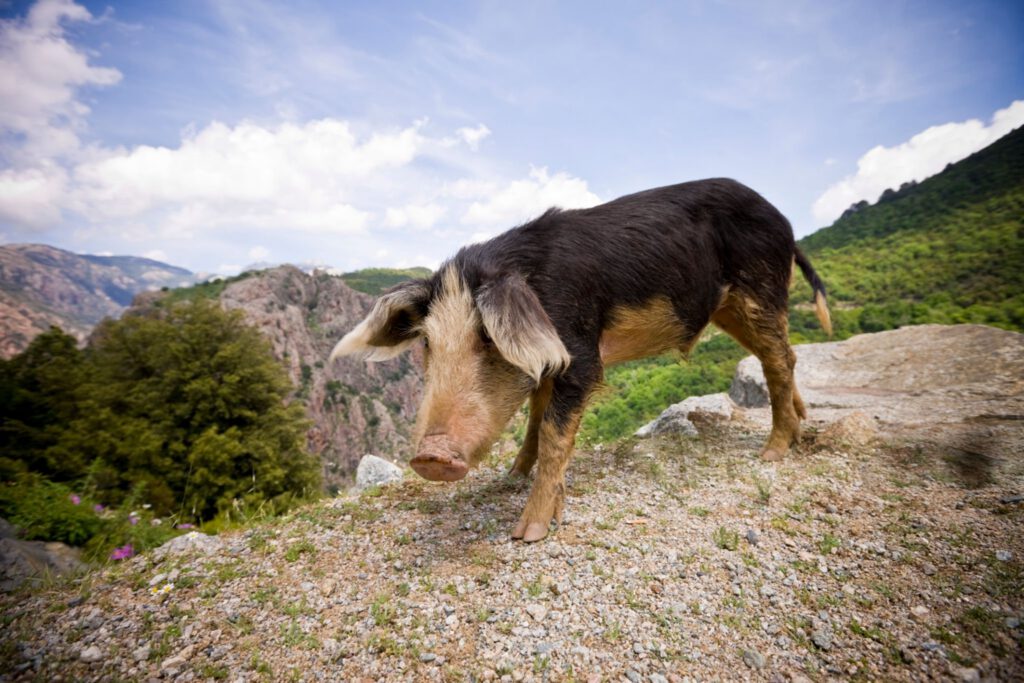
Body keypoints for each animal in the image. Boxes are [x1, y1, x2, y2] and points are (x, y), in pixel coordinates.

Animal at [331, 178, 831, 542]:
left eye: (489, 337)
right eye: (428, 344)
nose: (431, 455)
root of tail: (785, 223)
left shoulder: (581, 353)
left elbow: (555, 432)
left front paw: (529, 533)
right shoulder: (545, 359)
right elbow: (535, 419)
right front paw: (512, 475)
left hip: (760, 287)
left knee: (780, 358)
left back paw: (772, 452)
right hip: (730, 307)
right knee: (778, 355)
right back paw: (799, 426)